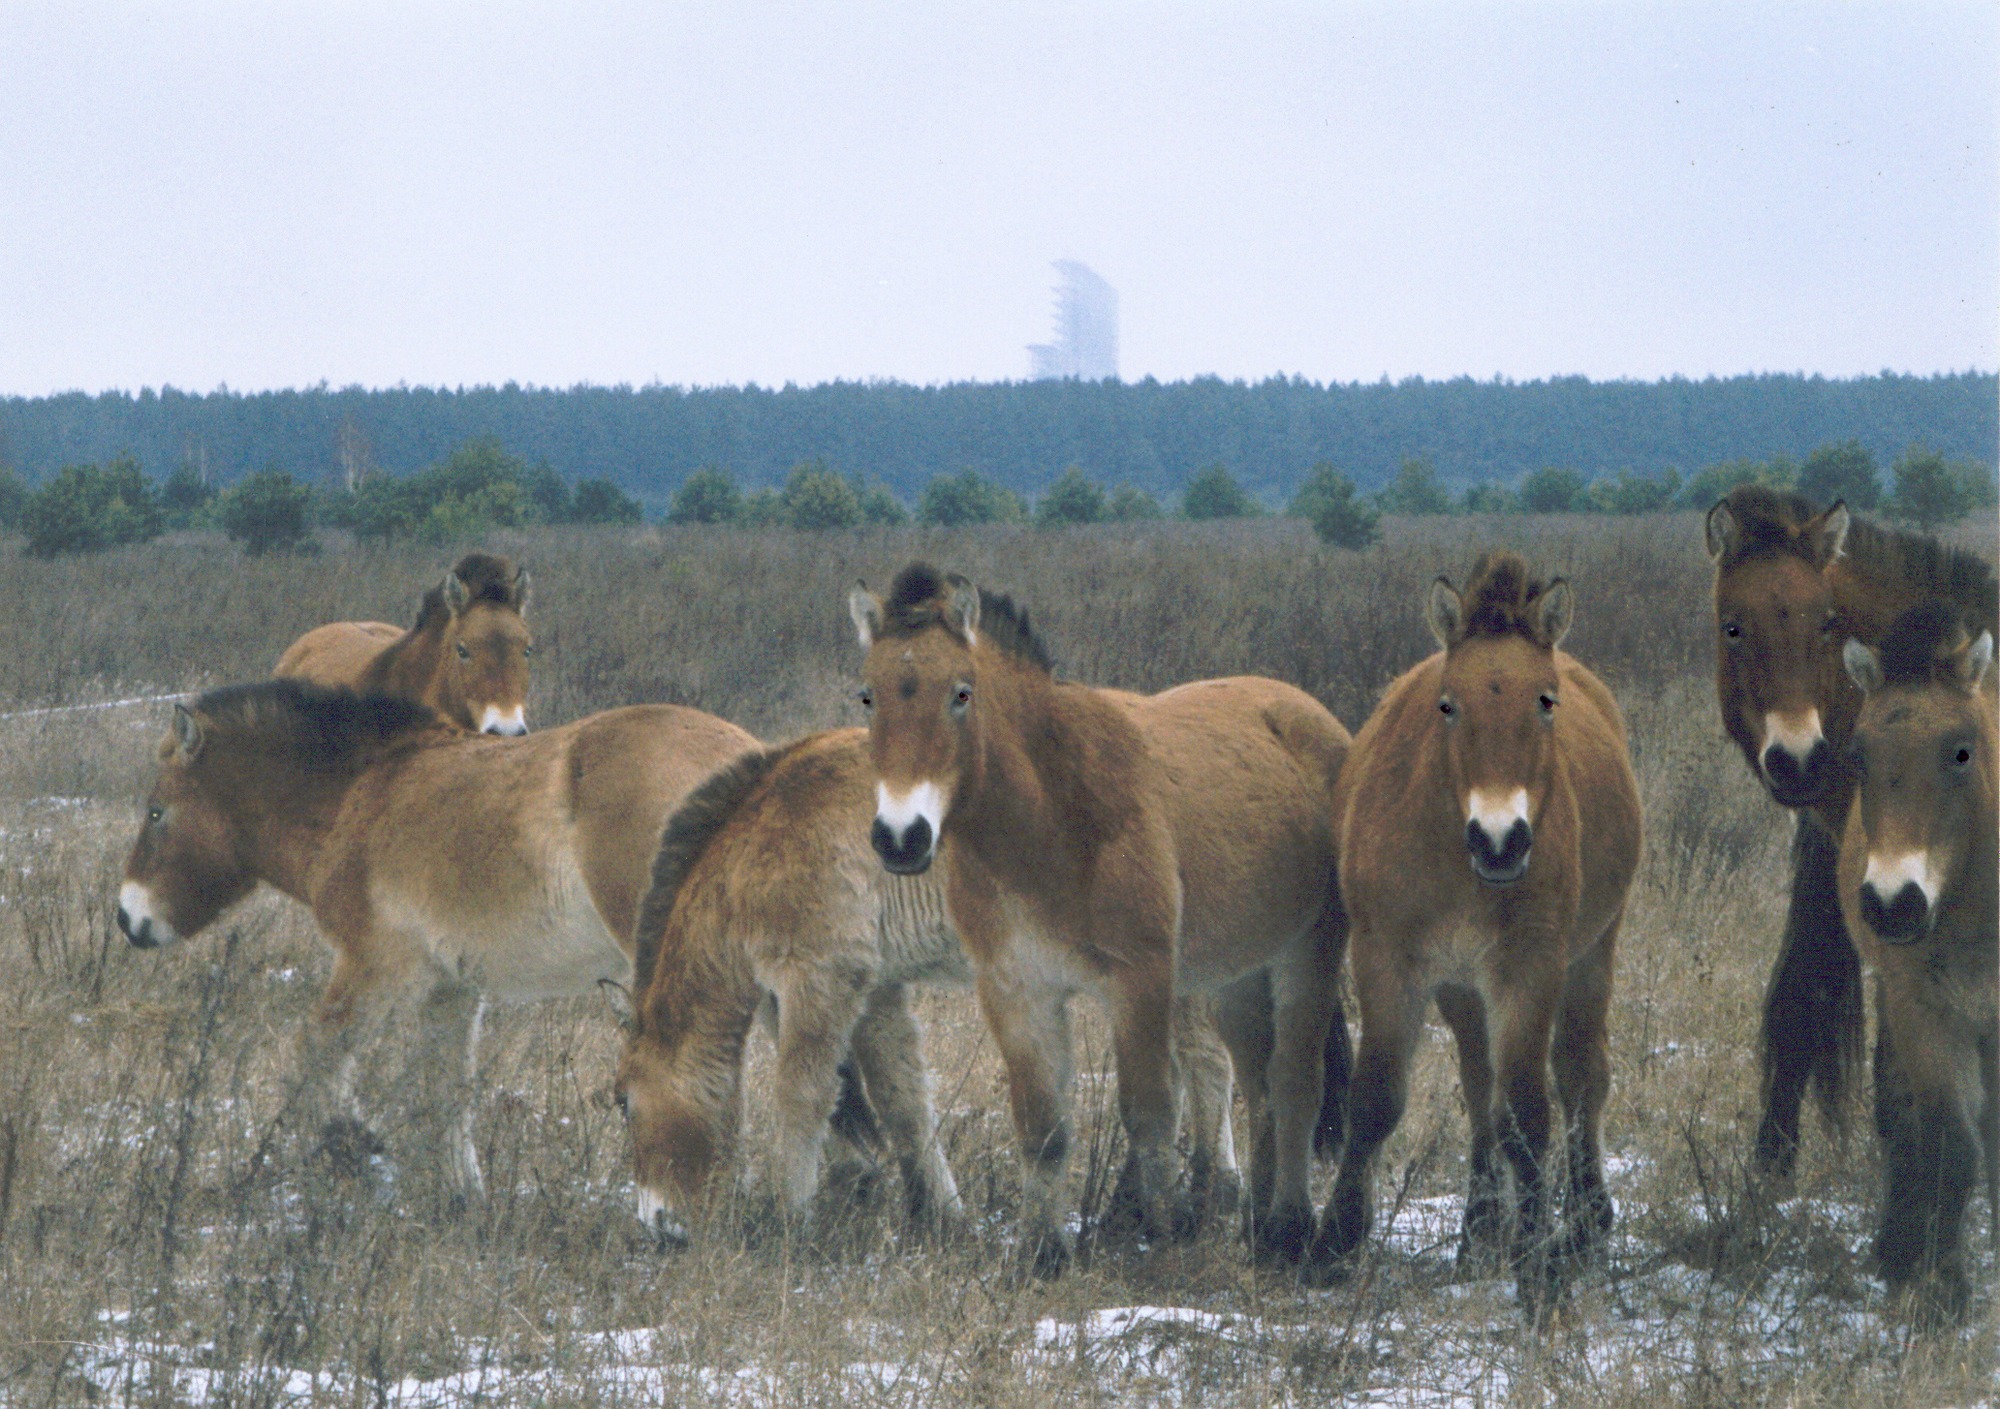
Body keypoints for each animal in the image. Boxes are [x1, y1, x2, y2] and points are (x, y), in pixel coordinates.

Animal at [115, 679, 756, 1200]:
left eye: (157, 812)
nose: (127, 917)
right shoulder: (452, 991)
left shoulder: (375, 967)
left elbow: (313, 1052)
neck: (360, 796)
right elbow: (447, 1090)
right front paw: (462, 1197)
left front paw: (355, 1143)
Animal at [611, 727, 1245, 1250]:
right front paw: (939, 1217)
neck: (757, 842)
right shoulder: (877, 991)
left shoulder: (820, 981)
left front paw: (793, 1221)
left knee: (1206, 1065)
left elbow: (801, 1098)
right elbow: (903, 1100)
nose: (657, 1225)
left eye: (625, 1104)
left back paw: (1204, 1202)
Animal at [849, 564, 1350, 1276]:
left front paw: (1161, 1237)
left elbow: (1148, 1114)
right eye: (868, 696)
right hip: (1236, 978)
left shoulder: (1139, 982)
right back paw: (1256, 1226)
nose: (901, 837)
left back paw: (1287, 1228)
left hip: (1309, 953)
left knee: (1295, 1083)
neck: (1052, 818)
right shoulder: (1016, 990)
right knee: (1259, 1085)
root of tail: (1314, 720)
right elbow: (1043, 1126)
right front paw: (1043, 1252)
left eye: (961, 694)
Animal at [1319, 552, 1641, 1312]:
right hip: (1463, 990)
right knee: (1478, 1087)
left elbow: (1528, 1112)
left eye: (1546, 700)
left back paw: (1583, 1223)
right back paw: (1479, 1230)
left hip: (1590, 955)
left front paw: (1538, 1263)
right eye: (1448, 703)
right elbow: (1376, 1098)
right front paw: (1334, 1243)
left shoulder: (1530, 967)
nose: (1501, 840)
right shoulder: (1389, 961)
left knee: (1580, 1076)